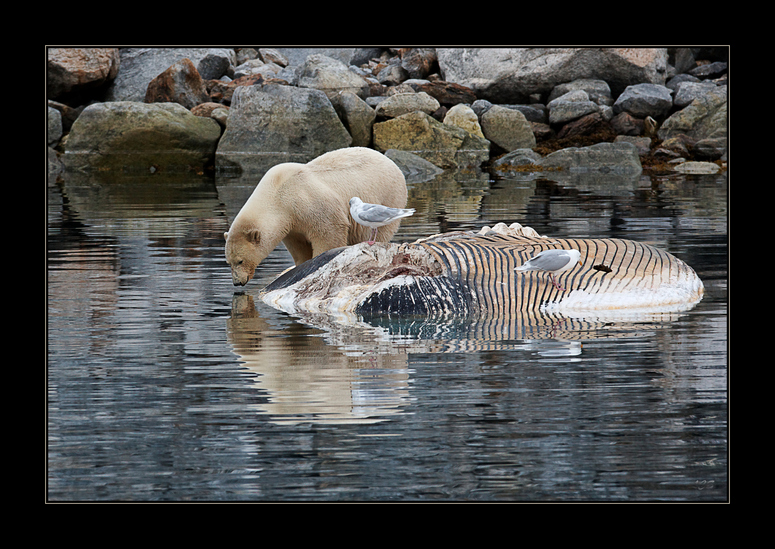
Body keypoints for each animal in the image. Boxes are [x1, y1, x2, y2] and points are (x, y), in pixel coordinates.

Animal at [223, 147, 406, 286]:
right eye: (228, 262)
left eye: (240, 261)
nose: (237, 283)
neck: (277, 193)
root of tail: (390, 162)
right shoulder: (292, 223)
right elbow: (298, 245)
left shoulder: (308, 201)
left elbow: (328, 233)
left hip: (388, 195)